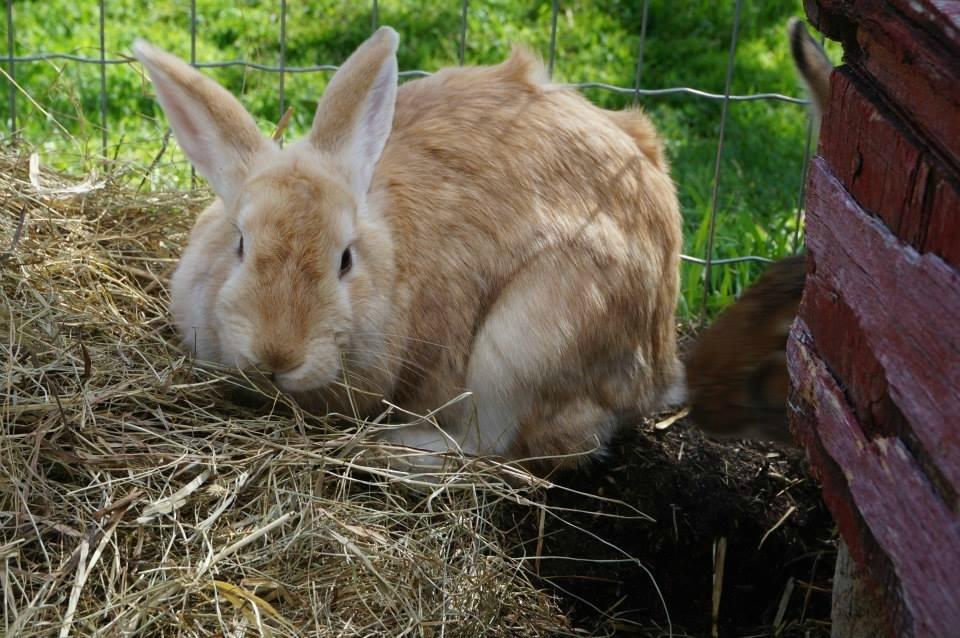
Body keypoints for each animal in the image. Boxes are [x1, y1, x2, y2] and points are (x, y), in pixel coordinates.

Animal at [137, 27, 688, 472]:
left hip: (528, 342)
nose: (278, 353)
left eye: (345, 259)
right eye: (240, 244)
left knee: (501, 448)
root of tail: (659, 367)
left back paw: (397, 447)